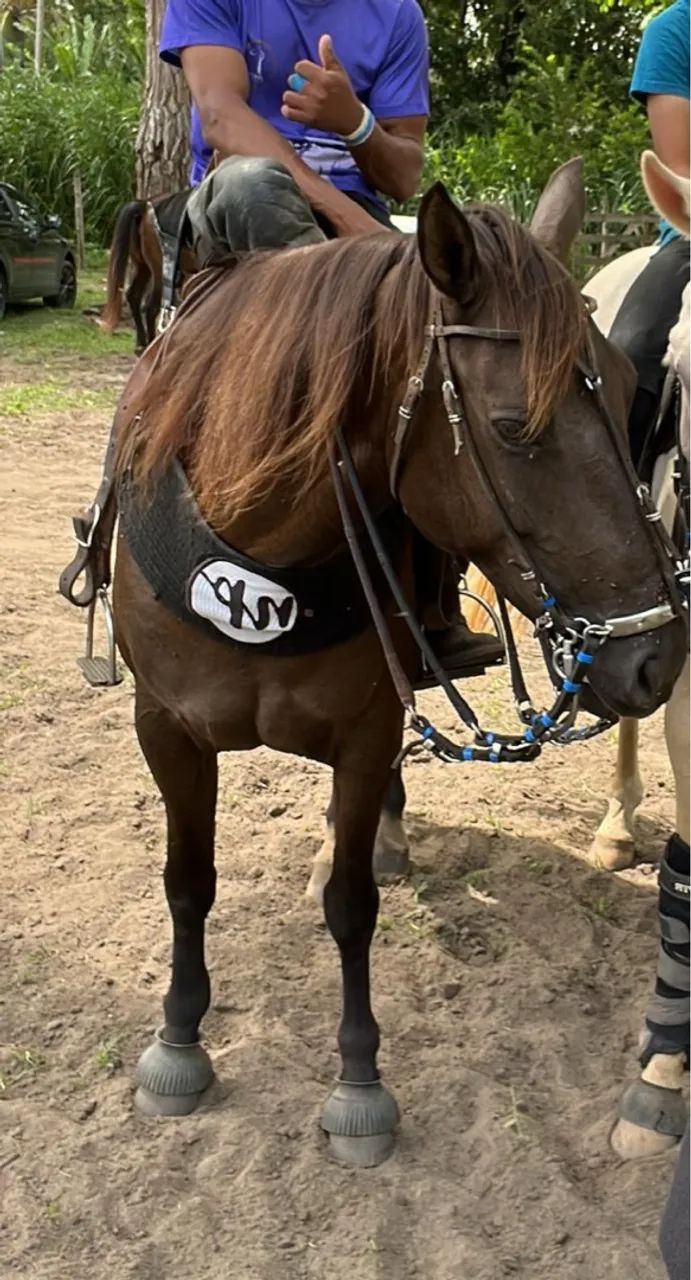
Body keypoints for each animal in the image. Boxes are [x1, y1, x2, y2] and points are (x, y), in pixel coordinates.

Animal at [100, 158, 685, 1166]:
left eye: (625, 392)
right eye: (513, 426)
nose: (658, 652)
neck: (258, 544)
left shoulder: (368, 731)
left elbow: (351, 904)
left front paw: (358, 1085)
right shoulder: (164, 729)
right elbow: (187, 883)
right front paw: (178, 1042)